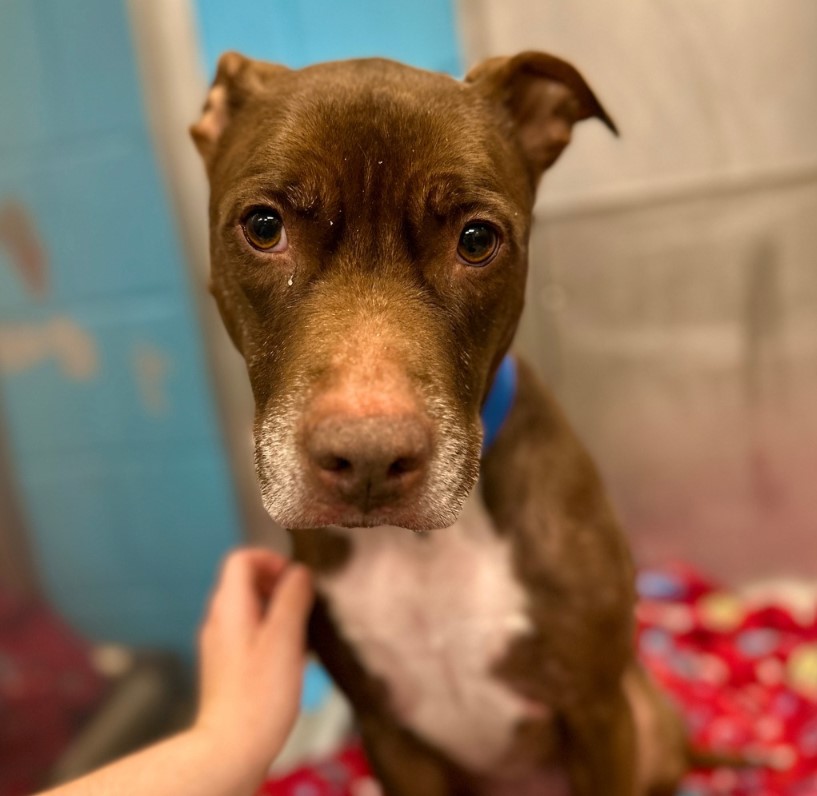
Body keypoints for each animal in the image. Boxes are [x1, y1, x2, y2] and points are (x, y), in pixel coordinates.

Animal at [193, 51, 688, 796]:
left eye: (476, 240)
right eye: (263, 227)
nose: (369, 458)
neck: (422, 549)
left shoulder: (598, 713)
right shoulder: (391, 737)